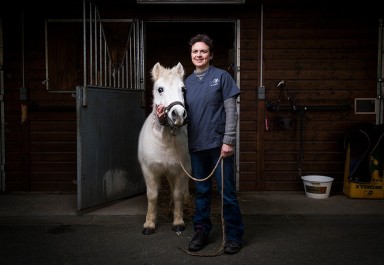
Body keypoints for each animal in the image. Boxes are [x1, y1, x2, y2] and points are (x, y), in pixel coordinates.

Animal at [139, 62, 191, 235]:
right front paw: (149, 224)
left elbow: (178, 194)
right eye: (160, 89)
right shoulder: (149, 170)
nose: (179, 114)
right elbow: (152, 196)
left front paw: (178, 222)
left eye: (183, 89)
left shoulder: (180, 170)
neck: (165, 139)